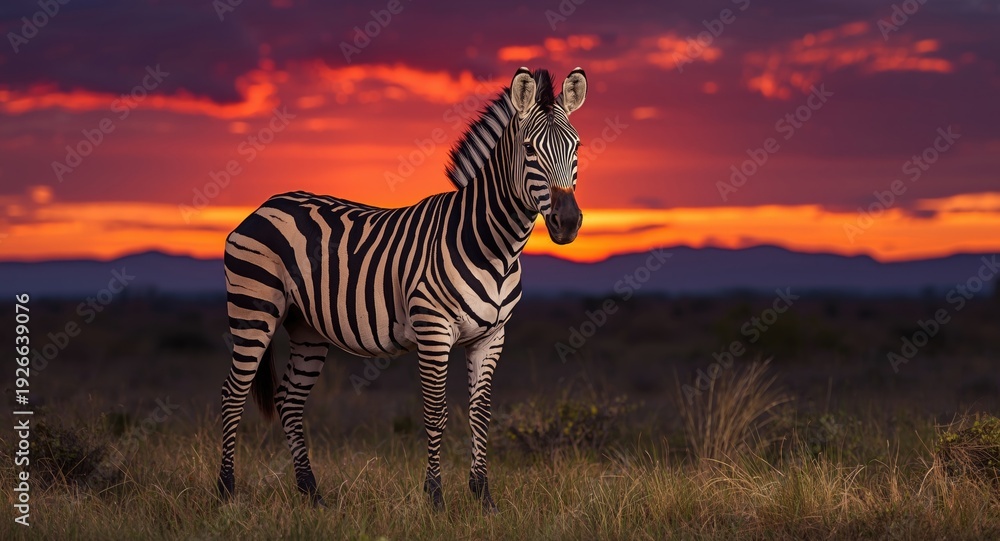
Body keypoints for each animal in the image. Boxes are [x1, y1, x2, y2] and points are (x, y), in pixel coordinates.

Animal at [217, 67, 588, 512]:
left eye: (577, 148)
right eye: (530, 150)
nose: (568, 223)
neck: (493, 246)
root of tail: (266, 205)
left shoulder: (491, 337)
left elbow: (480, 414)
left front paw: (483, 498)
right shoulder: (434, 330)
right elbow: (436, 413)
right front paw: (435, 499)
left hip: (307, 328)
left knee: (289, 400)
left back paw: (312, 494)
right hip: (253, 309)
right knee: (233, 394)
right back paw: (226, 491)